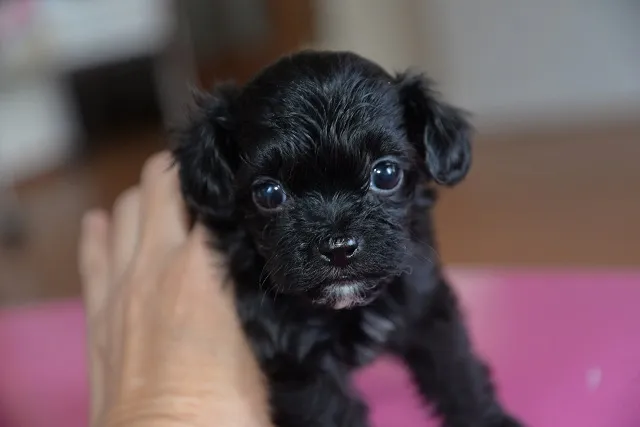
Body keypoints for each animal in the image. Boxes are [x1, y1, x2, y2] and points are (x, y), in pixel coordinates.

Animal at [174, 51, 520, 427]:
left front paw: (489, 420)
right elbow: (327, 412)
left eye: (386, 174)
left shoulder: (427, 306)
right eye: (268, 193)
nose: (338, 248)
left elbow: (457, 372)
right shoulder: (297, 353)